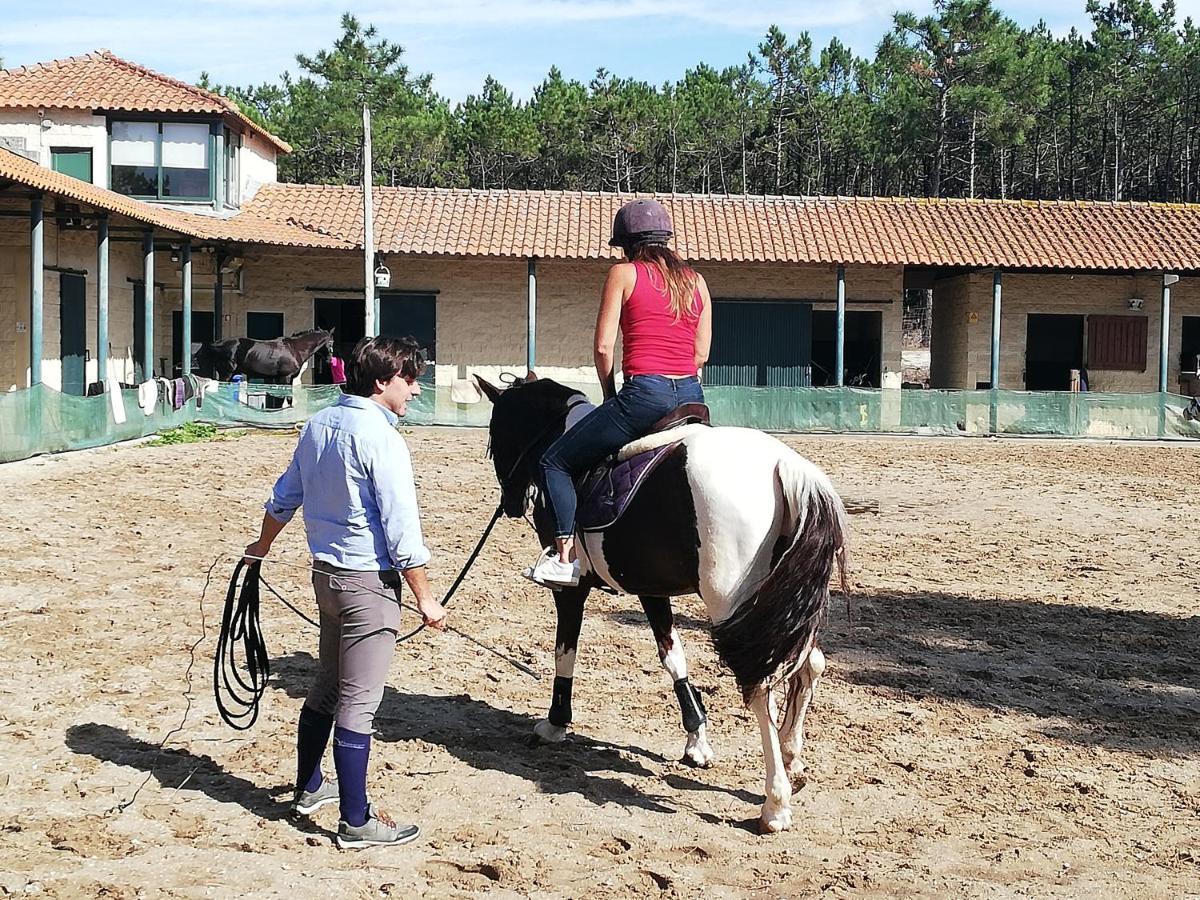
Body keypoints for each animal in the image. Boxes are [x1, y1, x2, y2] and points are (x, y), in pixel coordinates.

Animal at [472, 374, 849, 830]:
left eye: (496, 436)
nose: (510, 505)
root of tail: (783, 465)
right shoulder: (650, 587)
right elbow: (673, 656)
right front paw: (697, 739)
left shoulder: (572, 588)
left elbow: (565, 651)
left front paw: (554, 723)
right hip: (785, 604)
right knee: (810, 664)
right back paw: (793, 760)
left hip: (736, 603)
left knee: (760, 683)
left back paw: (775, 804)